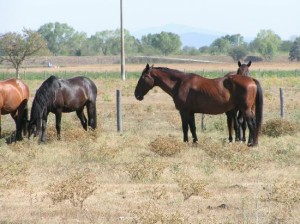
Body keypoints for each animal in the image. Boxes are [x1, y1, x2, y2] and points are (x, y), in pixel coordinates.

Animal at [135, 64, 264, 146]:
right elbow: (193, 127)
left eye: (143, 77)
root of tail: (251, 80)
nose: (136, 95)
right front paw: (195, 141)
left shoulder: (184, 111)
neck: (180, 83)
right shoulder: (191, 112)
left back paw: (251, 143)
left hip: (245, 110)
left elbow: (185, 127)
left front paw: (185, 142)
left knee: (251, 124)